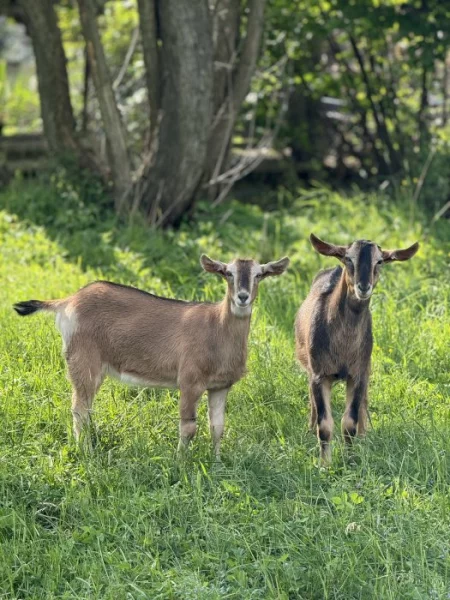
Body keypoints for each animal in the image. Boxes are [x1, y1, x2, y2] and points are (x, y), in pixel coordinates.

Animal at [14, 254, 290, 460]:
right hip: (83, 360)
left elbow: (218, 428)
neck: (217, 329)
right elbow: (189, 427)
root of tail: (67, 301)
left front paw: (217, 463)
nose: (242, 297)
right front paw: (181, 462)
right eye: (227, 273)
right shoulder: (189, 381)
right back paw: (87, 452)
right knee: (79, 409)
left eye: (259, 274)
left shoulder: (220, 386)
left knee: (86, 408)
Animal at [296, 234, 418, 464]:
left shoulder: (358, 374)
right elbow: (324, 425)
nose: (363, 287)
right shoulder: (319, 374)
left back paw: (364, 435)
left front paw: (351, 460)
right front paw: (324, 465)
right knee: (312, 402)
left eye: (379, 261)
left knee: (363, 404)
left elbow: (349, 422)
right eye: (348, 258)